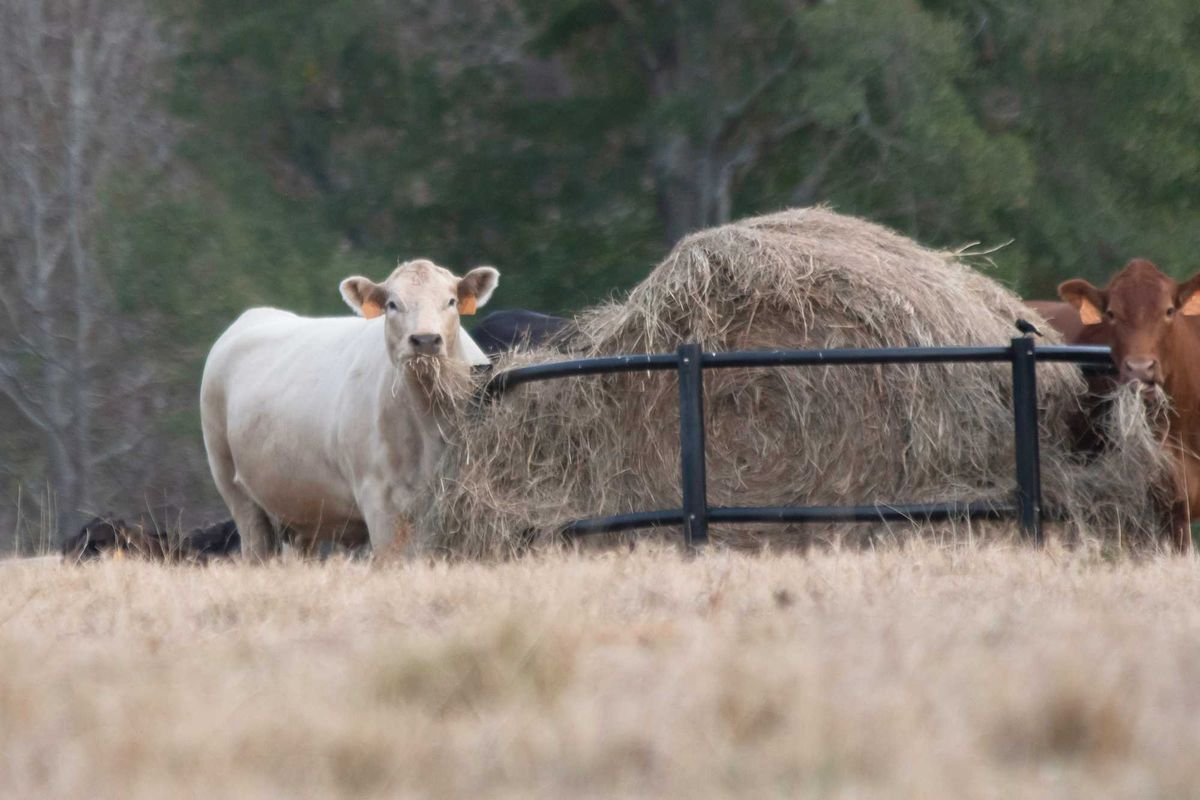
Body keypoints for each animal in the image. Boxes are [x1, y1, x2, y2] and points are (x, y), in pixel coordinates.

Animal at [200, 259, 499, 560]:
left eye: (451, 301)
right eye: (392, 304)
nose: (425, 340)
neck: (427, 426)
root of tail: (254, 315)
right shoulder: (379, 500)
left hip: (300, 512)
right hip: (234, 488)